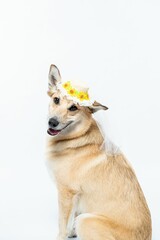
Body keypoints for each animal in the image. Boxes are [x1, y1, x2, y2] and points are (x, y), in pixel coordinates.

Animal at [46, 65, 151, 240]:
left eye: (73, 108)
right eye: (56, 100)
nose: (52, 122)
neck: (77, 137)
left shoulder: (66, 193)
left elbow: (62, 225)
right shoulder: (75, 197)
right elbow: (69, 221)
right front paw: (71, 233)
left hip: (86, 220)